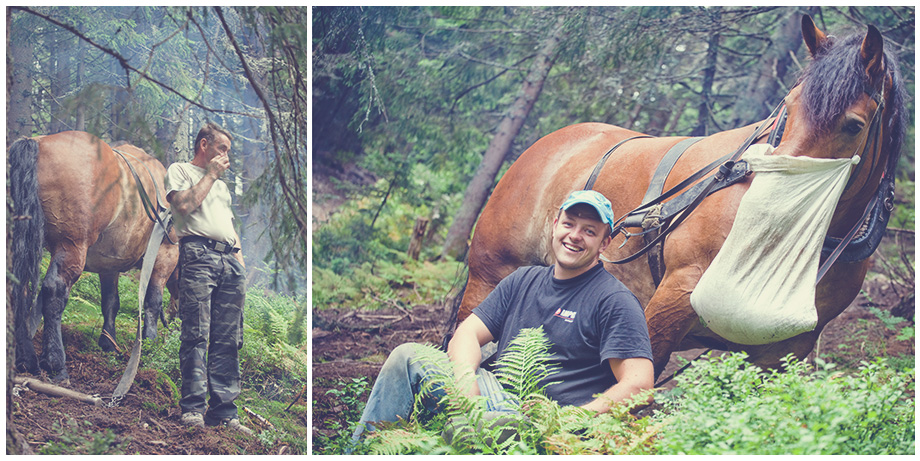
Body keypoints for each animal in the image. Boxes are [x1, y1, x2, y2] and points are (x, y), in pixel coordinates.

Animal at [9, 130, 179, 380]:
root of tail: (37, 143)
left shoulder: (110, 265)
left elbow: (111, 302)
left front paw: (108, 341)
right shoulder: (165, 256)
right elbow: (153, 301)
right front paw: (150, 343)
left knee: (18, 287)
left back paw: (26, 358)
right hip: (72, 245)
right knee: (54, 291)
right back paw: (55, 362)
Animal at [452, 18, 904, 378]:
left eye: (853, 125)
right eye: (787, 109)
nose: (766, 213)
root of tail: (546, 144)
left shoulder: (783, 349)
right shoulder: (673, 297)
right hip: (490, 278)